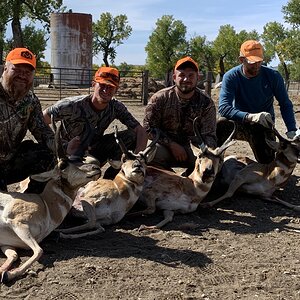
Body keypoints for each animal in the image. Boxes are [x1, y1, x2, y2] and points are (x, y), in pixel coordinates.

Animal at [0, 120, 101, 282]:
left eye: (81, 159)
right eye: (63, 165)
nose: (96, 168)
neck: (46, 204)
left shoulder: (7, 244)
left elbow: (15, 254)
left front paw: (4, 272)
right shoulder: (18, 223)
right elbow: (39, 251)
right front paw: (10, 275)